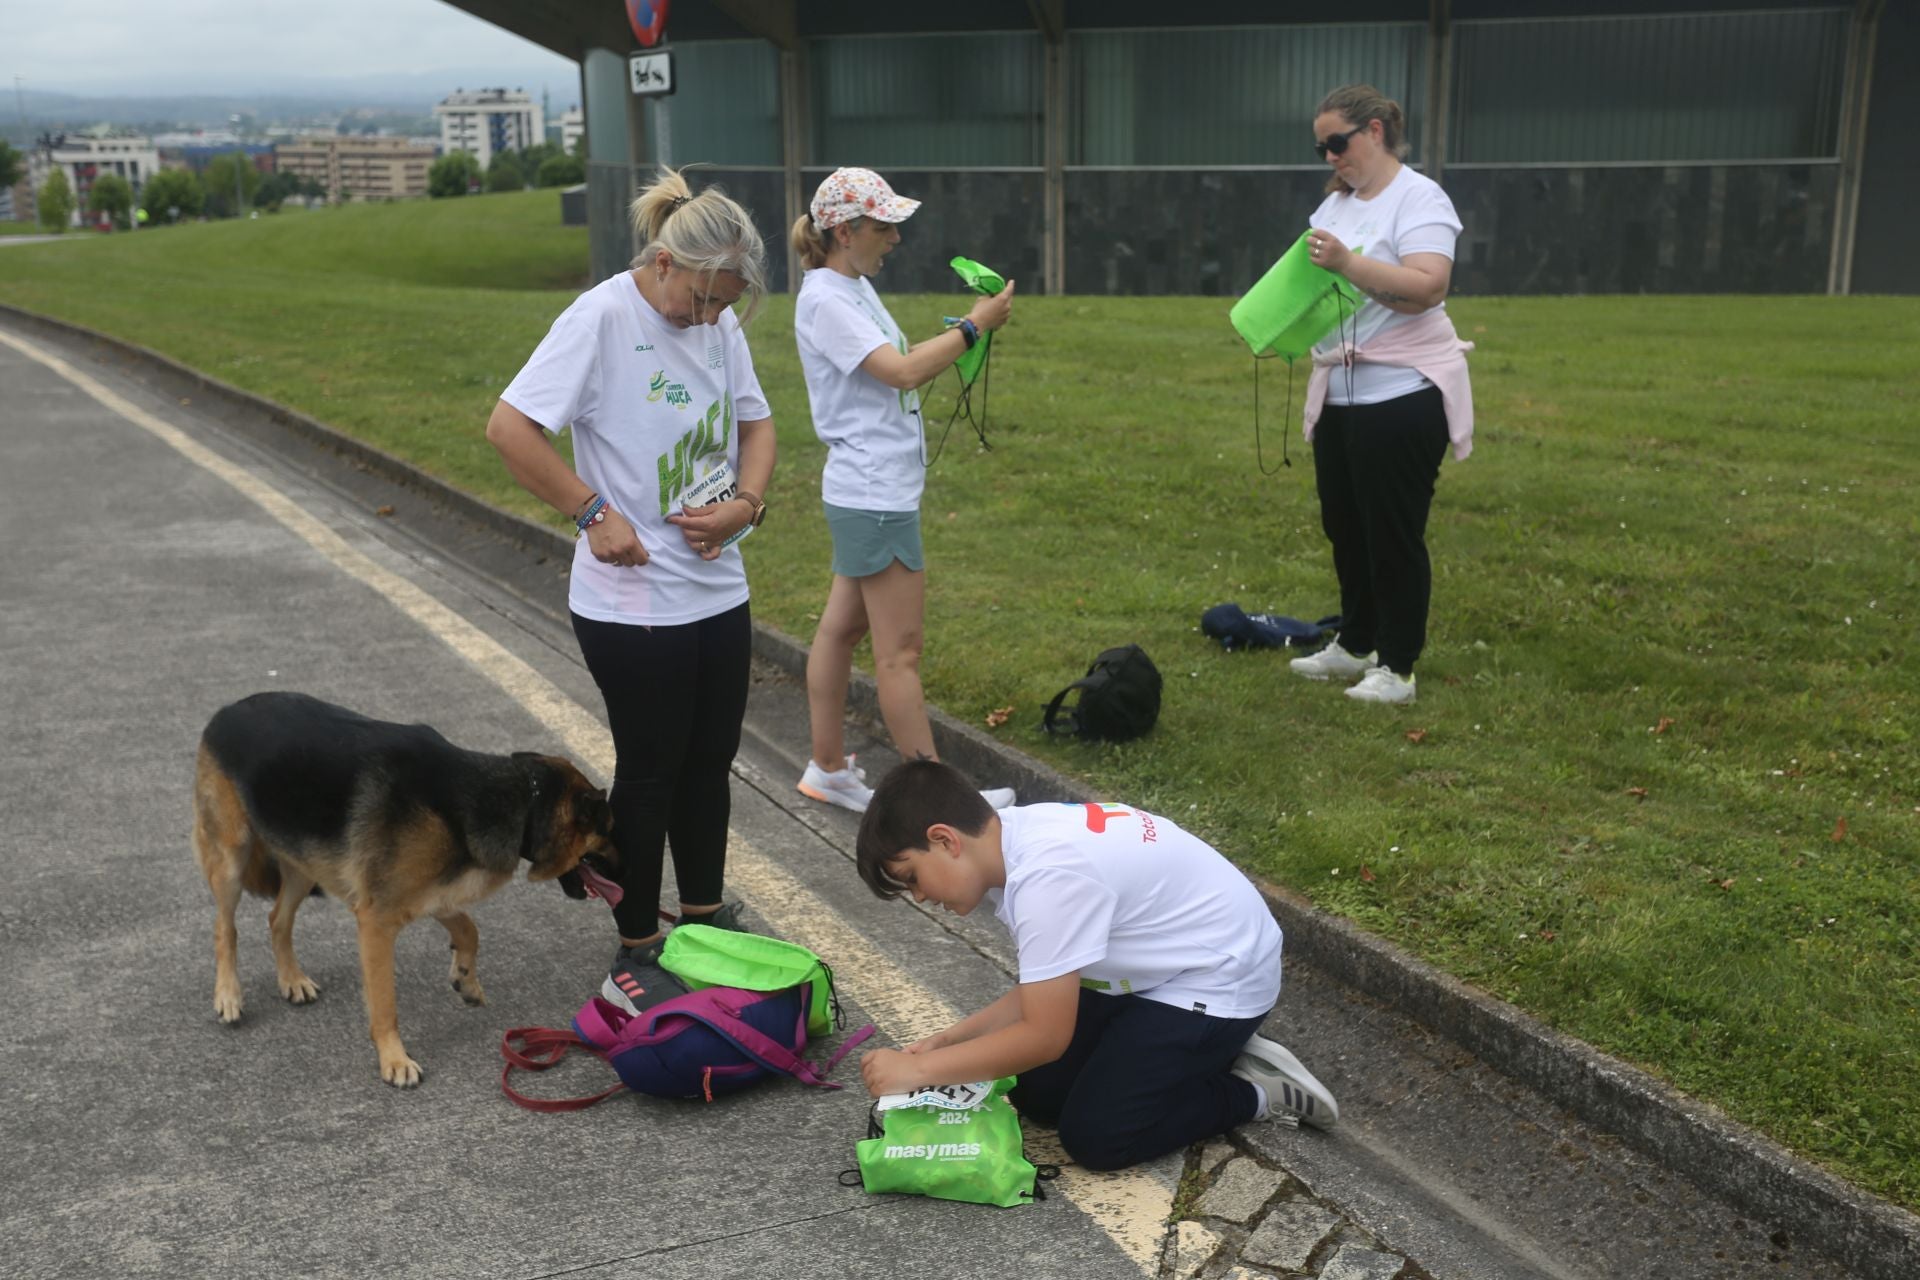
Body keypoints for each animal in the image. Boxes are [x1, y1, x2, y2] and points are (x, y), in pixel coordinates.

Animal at [192, 694, 622, 1090]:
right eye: (609, 829)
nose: (626, 865)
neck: (514, 798)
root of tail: (227, 710)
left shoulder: (434, 896)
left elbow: (469, 930)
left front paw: (465, 978)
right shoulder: (377, 922)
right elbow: (385, 1004)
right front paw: (394, 1060)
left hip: (302, 862)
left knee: (277, 919)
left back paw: (291, 979)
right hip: (232, 858)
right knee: (224, 928)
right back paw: (228, 995)